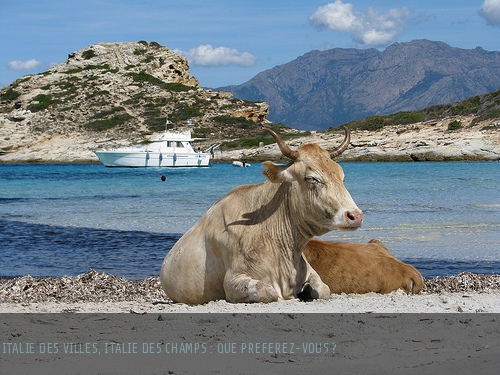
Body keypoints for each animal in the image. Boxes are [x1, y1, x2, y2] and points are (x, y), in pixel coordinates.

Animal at [162, 126, 362, 306]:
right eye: (312, 178)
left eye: (342, 177)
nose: (355, 215)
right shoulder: (233, 280)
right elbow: (268, 291)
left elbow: (323, 289)